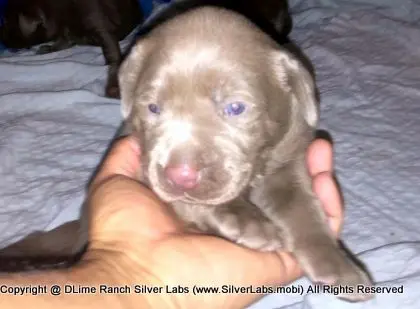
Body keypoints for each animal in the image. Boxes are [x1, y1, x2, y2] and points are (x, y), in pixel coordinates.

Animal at [0, 0, 144, 97]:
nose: (1, 35)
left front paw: (114, 87)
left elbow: (113, 56)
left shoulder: (101, 27)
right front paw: (50, 48)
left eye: (6, 23)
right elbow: (63, 40)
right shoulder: (65, 29)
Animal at [120, 6, 372, 300]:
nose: (181, 176)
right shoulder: (146, 167)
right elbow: (195, 203)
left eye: (236, 108)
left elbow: (301, 205)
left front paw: (339, 267)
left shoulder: (289, 157)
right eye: (153, 108)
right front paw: (249, 222)